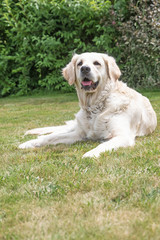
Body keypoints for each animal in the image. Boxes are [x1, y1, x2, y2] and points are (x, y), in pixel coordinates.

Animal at [19, 52, 158, 158]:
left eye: (97, 63)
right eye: (79, 63)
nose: (85, 68)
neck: (94, 106)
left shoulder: (123, 136)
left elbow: (103, 144)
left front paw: (90, 154)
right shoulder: (79, 134)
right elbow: (52, 138)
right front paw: (30, 143)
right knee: (55, 132)